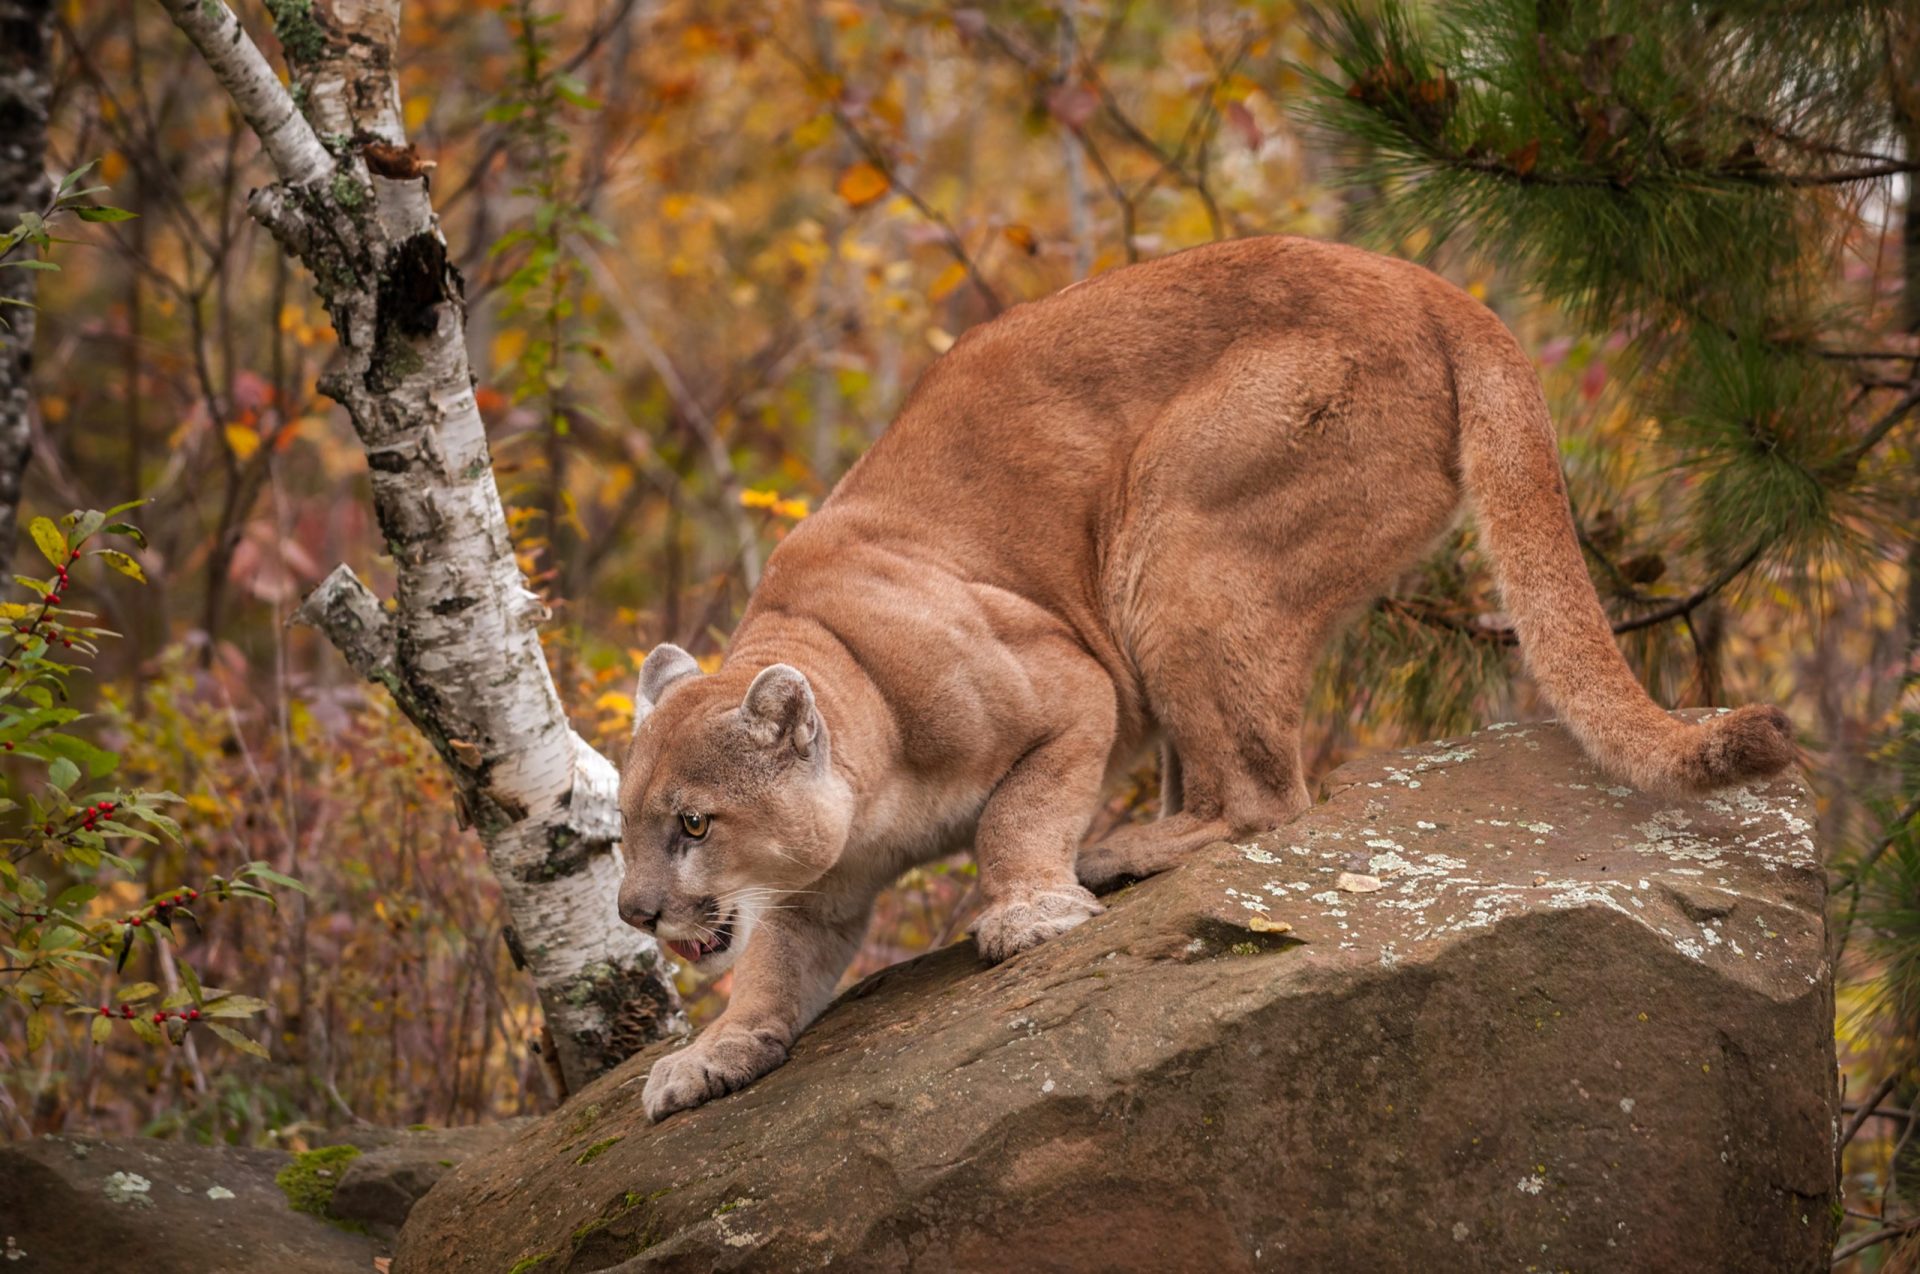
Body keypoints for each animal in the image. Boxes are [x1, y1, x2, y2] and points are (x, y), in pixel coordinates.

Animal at [618, 234, 1797, 1120]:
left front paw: (1025, 912)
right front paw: (710, 1054)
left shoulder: (1072, 689)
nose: (632, 912)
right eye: (621, 829)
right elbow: (771, 971)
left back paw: (1120, 852)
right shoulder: (817, 896)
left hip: (1176, 531)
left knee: (1267, 795)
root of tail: (1424, 280)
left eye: (694, 822)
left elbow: (1013, 813)